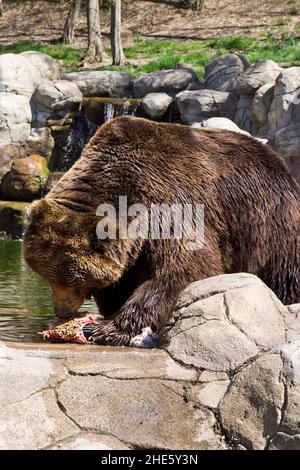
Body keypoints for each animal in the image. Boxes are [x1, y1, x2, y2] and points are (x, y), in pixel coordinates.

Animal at [22, 116, 300, 346]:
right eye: (47, 275)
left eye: (74, 278)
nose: (63, 311)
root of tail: (280, 164)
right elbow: (120, 282)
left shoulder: (171, 205)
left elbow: (184, 268)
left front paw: (106, 329)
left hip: (269, 224)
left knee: (285, 273)